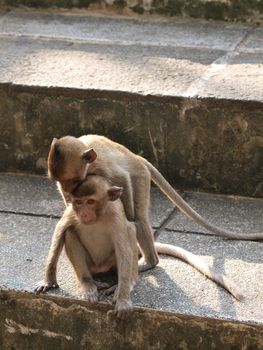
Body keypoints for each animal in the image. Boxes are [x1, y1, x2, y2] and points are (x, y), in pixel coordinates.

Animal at [35, 175, 243, 318]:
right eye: (78, 202)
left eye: (90, 201)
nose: (84, 214)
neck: (98, 217)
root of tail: (100, 268)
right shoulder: (71, 213)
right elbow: (61, 229)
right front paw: (48, 280)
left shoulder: (115, 216)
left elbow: (123, 245)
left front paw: (123, 297)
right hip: (92, 265)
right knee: (70, 233)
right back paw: (88, 283)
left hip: (112, 262)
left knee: (129, 236)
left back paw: (125, 283)